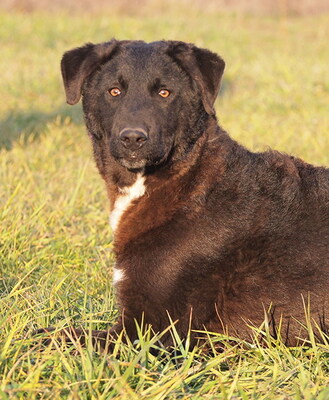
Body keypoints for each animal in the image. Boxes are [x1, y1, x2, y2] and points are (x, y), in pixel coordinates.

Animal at [52, 39, 328, 350]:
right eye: (114, 91)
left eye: (165, 92)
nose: (133, 138)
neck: (188, 181)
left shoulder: (148, 332)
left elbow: (51, 335)